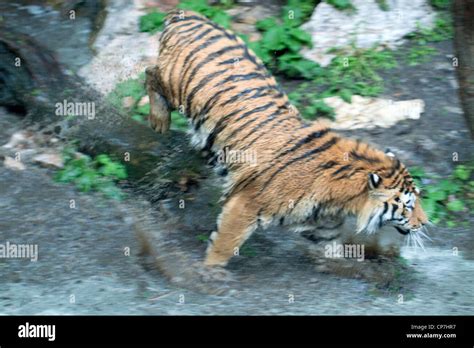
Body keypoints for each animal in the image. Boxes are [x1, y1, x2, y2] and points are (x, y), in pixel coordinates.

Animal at [145, 10, 430, 266]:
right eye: (407, 206)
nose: (425, 222)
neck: (342, 199)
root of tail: (188, 15)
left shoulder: (323, 224)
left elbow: (333, 251)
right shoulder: (247, 203)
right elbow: (225, 243)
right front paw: (209, 274)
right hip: (176, 87)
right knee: (149, 72)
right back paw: (159, 121)